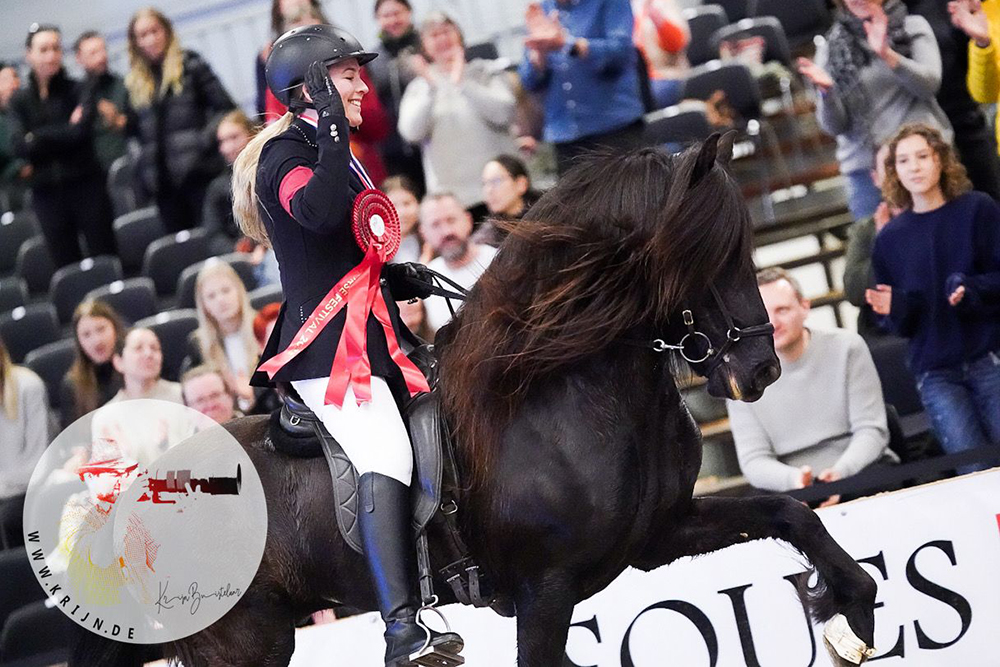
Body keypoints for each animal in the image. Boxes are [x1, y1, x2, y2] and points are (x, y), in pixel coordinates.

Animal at [70, 137, 872, 667]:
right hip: (247, 641)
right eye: (706, 248)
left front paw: (852, 610)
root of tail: (132, 494)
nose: (761, 367)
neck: (562, 391)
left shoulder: (654, 536)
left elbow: (789, 512)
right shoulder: (546, 588)